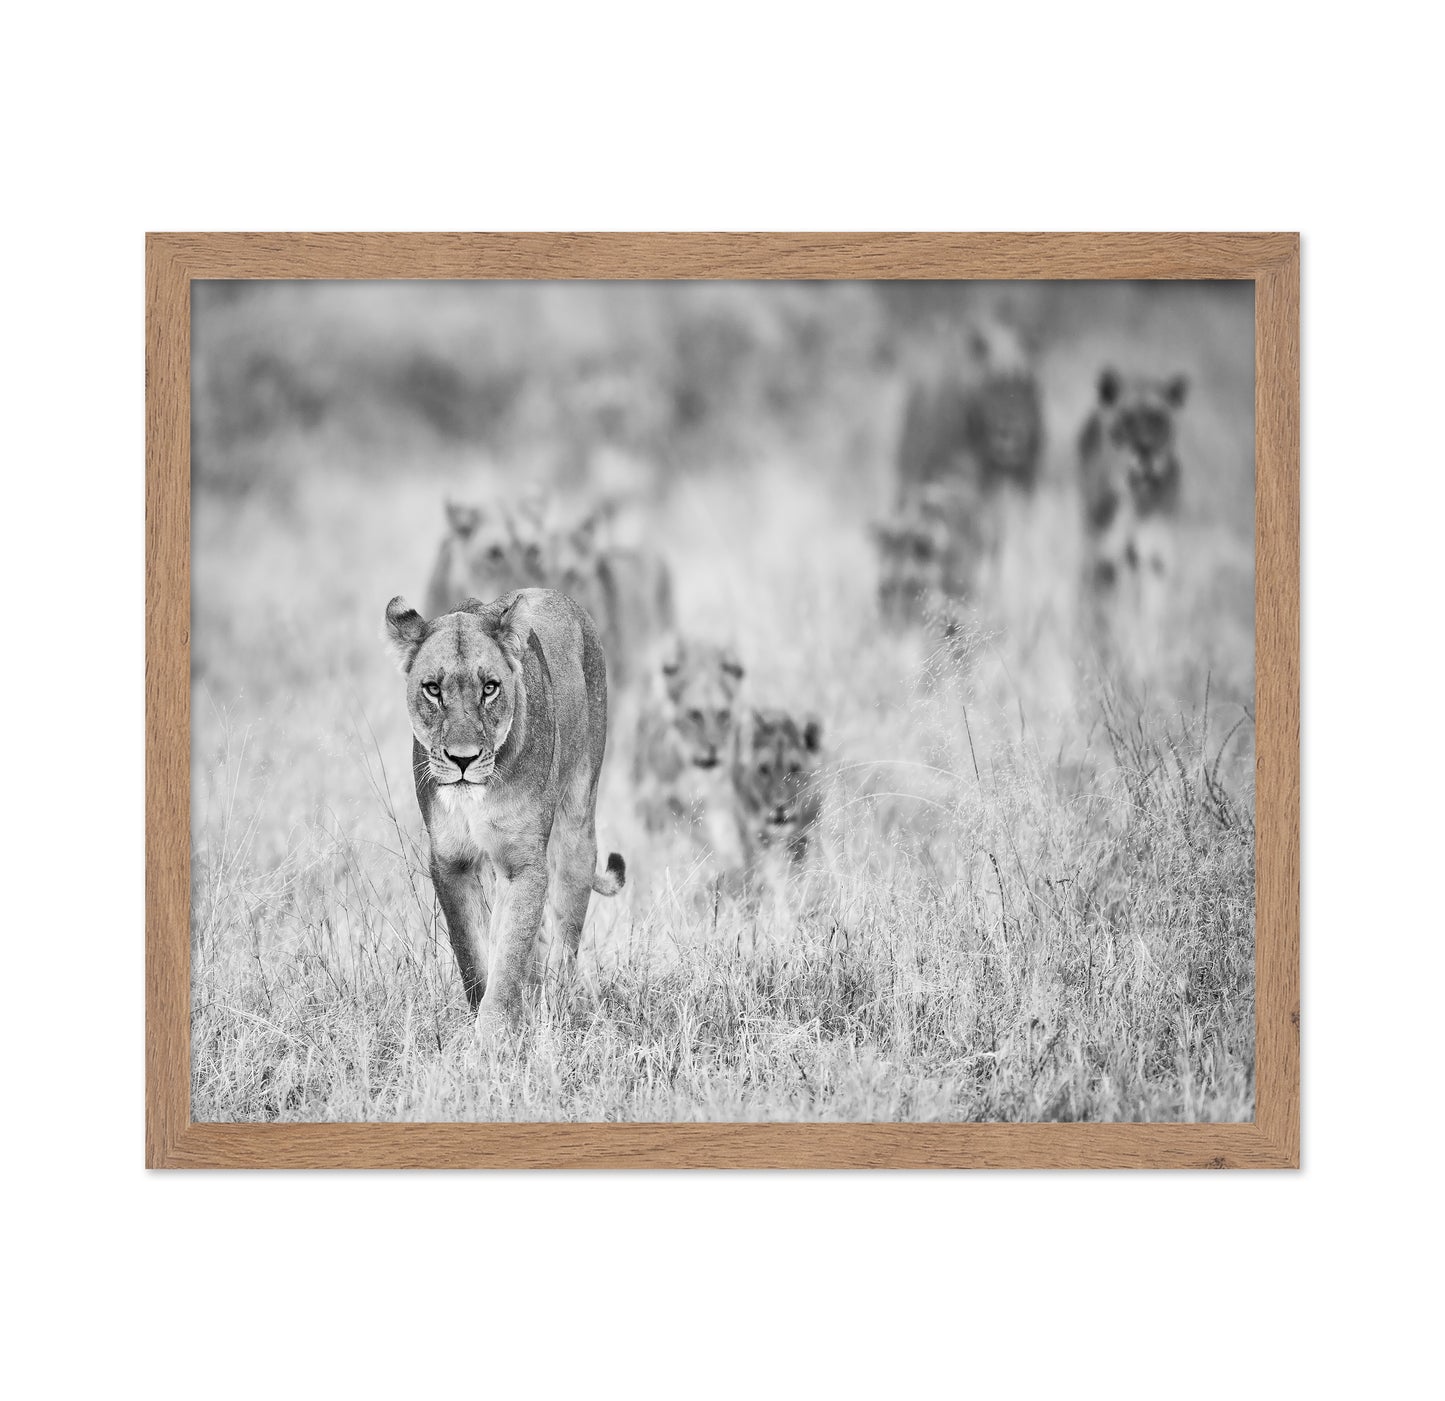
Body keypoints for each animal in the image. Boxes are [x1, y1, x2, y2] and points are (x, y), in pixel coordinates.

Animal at [384, 588, 624, 1035]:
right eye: (432, 689)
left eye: (490, 688)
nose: (463, 759)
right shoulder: (450, 861)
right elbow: (474, 956)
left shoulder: (523, 863)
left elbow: (509, 956)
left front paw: (493, 1039)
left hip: (577, 828)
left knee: (564, 941)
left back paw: (555, 1013)